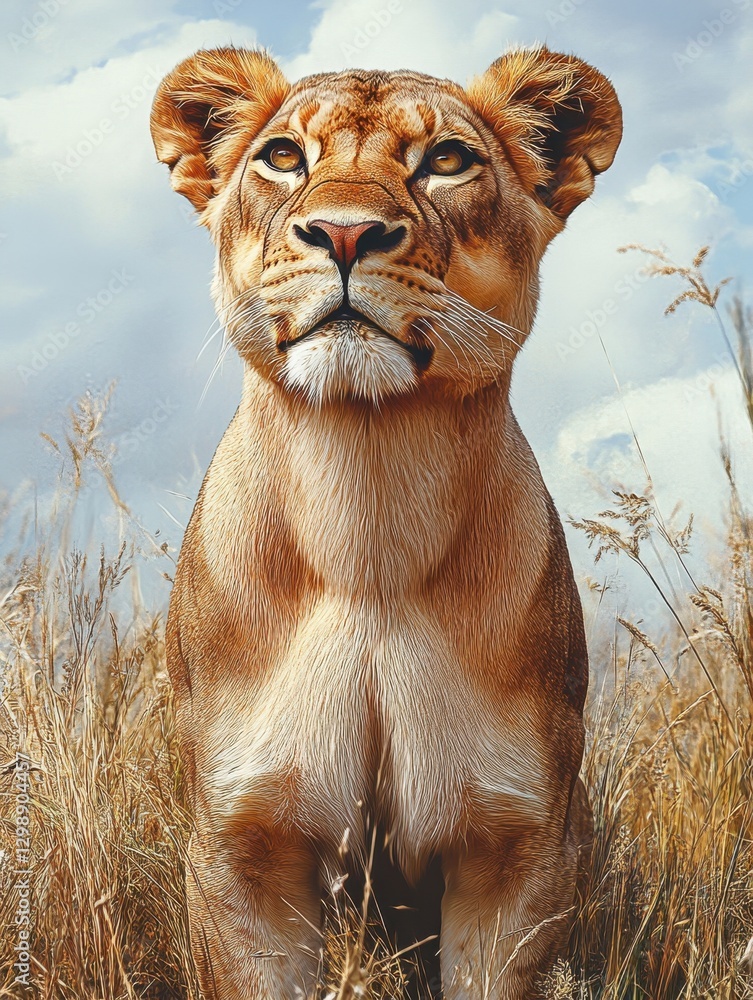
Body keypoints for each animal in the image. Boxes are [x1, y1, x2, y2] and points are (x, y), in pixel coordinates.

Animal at [150, 44, 621, 999]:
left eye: (444, 160)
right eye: (284, 156)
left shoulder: (518, 845)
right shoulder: (239, 846)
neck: (365, 514)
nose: (342, 234)